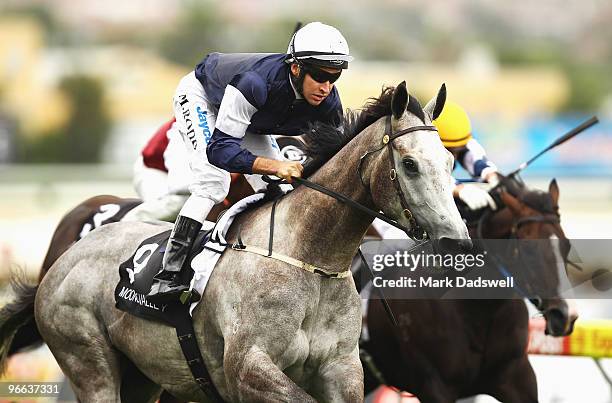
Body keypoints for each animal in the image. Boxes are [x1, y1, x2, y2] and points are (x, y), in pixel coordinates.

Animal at [9, 83, 470, 403]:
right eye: (409, 164)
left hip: (141, 375)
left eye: (450, 162)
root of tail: (60, 262)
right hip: (89, 362)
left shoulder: (342, 370)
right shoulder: (249, 369)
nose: (457, 244)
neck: (308, 259)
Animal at [364, 176, 580, 403]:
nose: (566, 315)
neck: (478, 311)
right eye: (529, 250)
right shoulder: (435, 387)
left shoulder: (517, 376)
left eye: (567, 246)